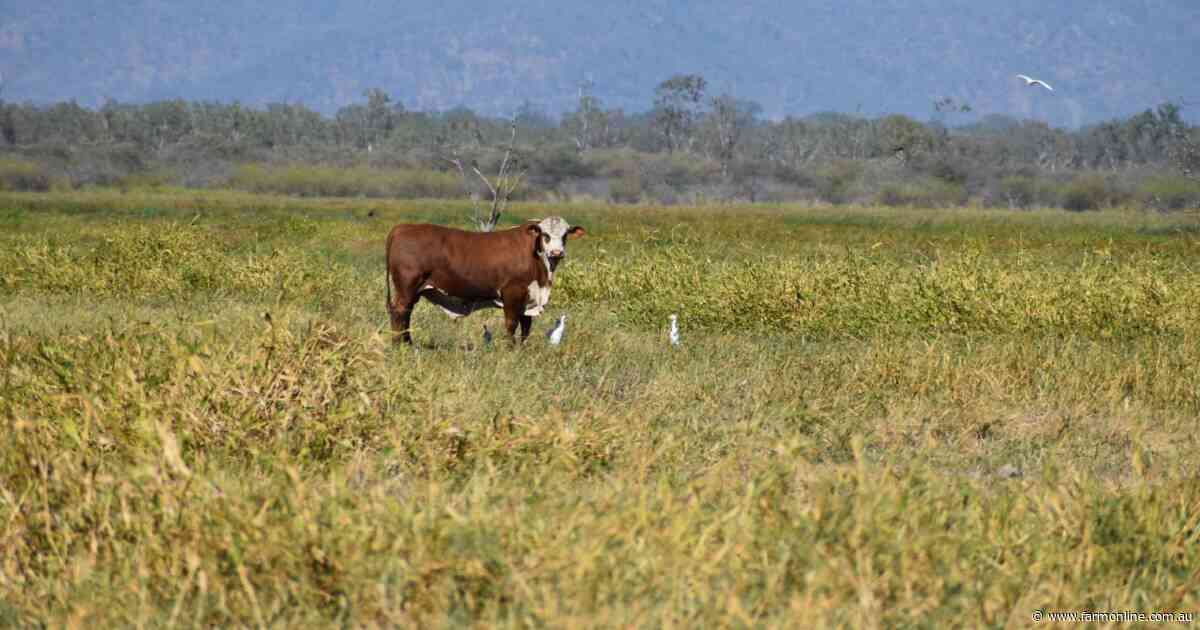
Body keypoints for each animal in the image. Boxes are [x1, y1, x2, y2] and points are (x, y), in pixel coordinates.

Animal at [385, 216, 585, 346]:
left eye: (565, 235)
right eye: (545, 235)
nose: (557, 252)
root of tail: (402, 227)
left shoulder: (529, 297)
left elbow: (526, 325)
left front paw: (522, 348)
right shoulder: (512, 292)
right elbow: (511, 323)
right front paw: (510, 348)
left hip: (414, 290)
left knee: (405, 313)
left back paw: (407, 342)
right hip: (407, 286)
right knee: (400, 312)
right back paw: (400, 345)